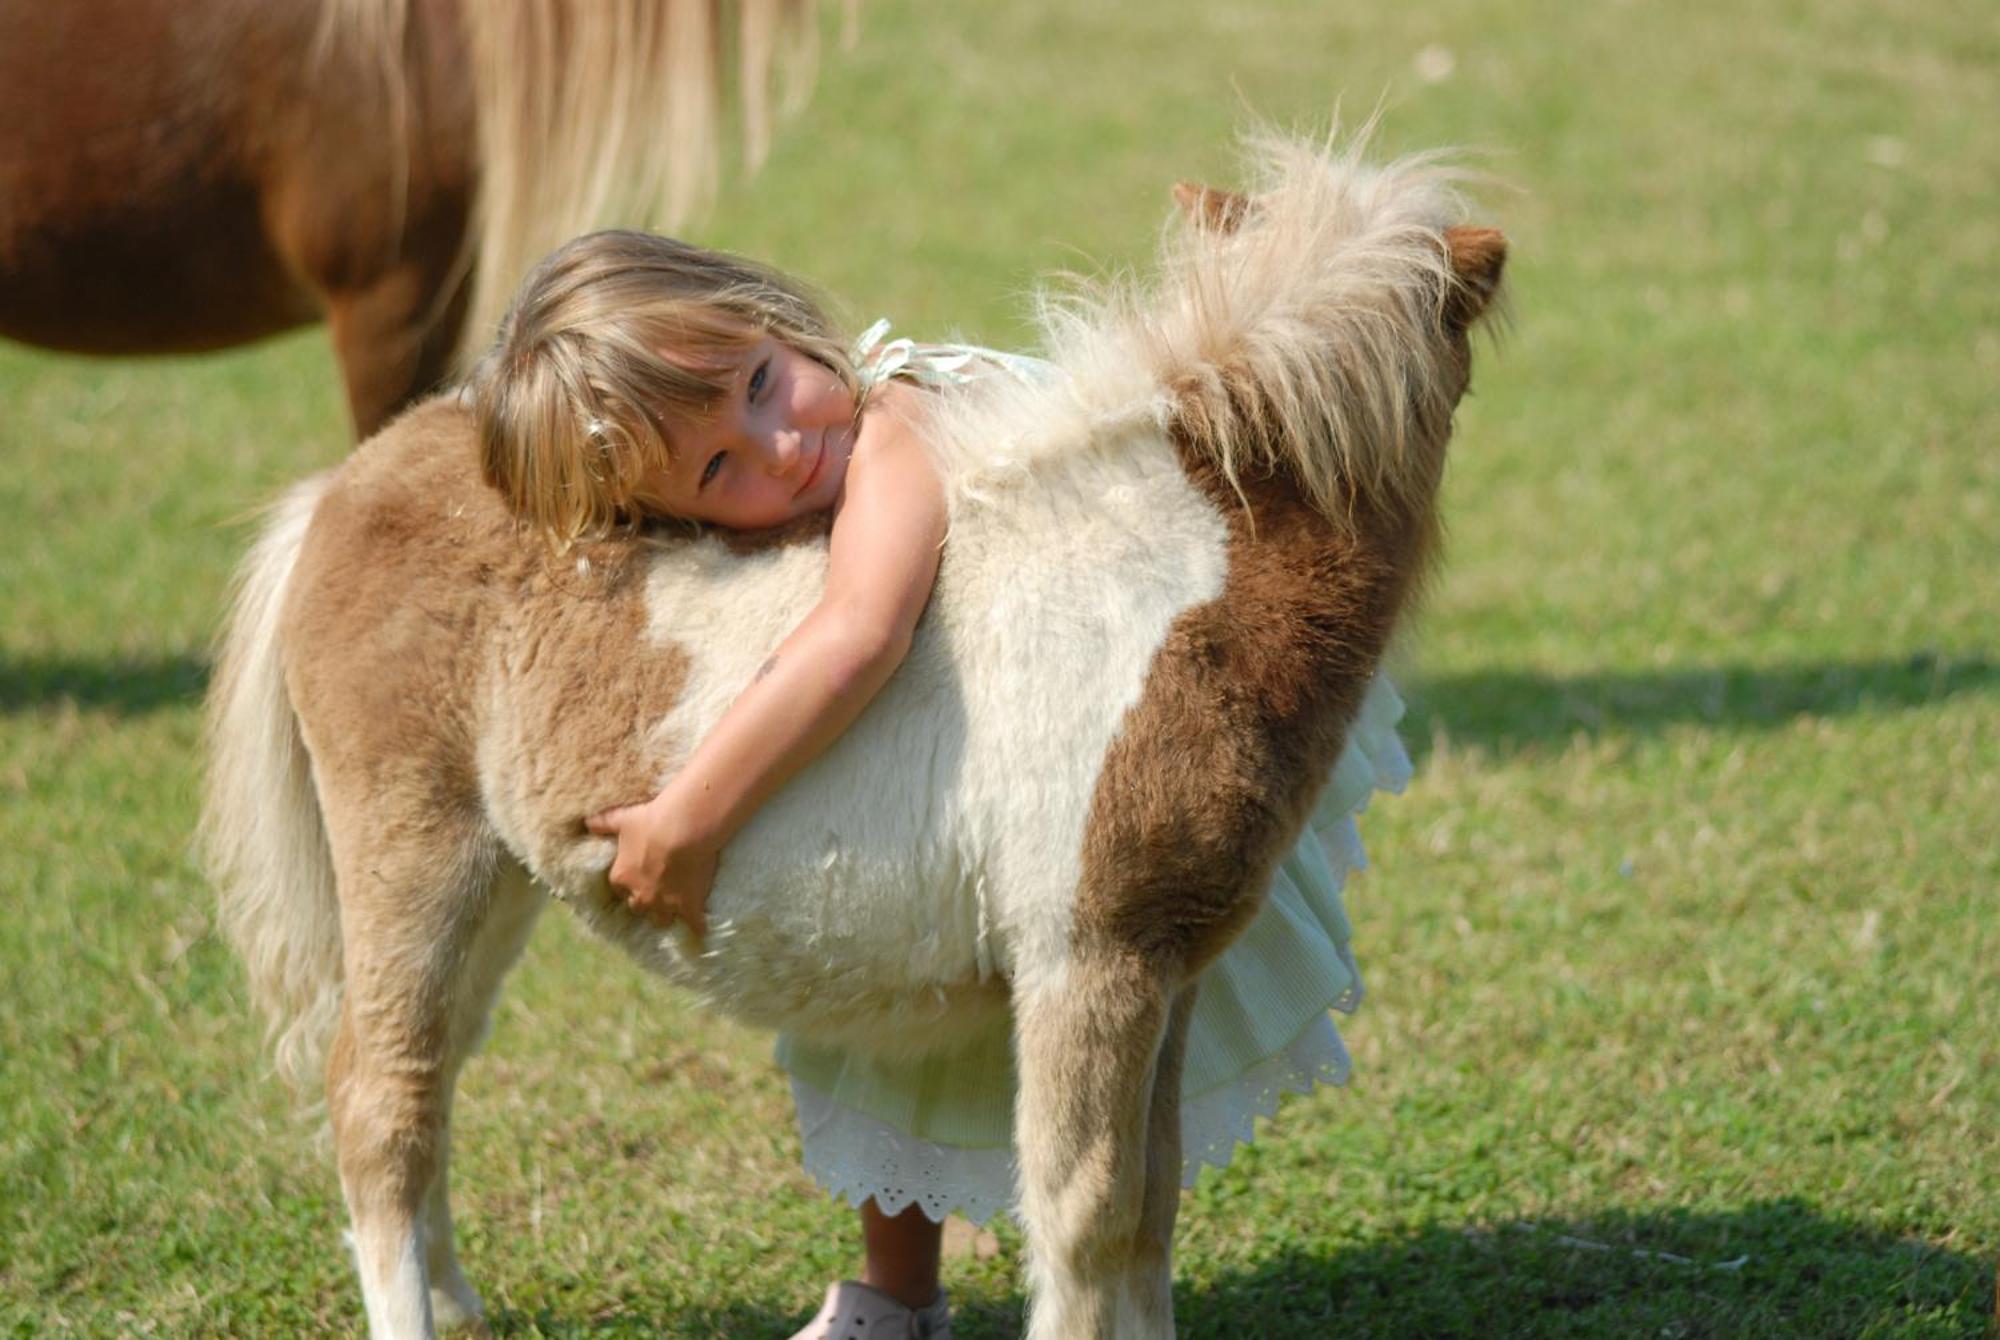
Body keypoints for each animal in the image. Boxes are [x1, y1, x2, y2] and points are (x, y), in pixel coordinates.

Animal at [199, 139, 1504, 1340]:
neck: (1172, 580)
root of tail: (341, 487)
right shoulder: (1085, 960)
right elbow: (1084, 1214)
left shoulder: (1165, 969)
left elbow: (1150, 1204)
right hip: (414, 854)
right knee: (380, 1099)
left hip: (497, 886)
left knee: (429, 1076)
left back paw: (461, 1303)